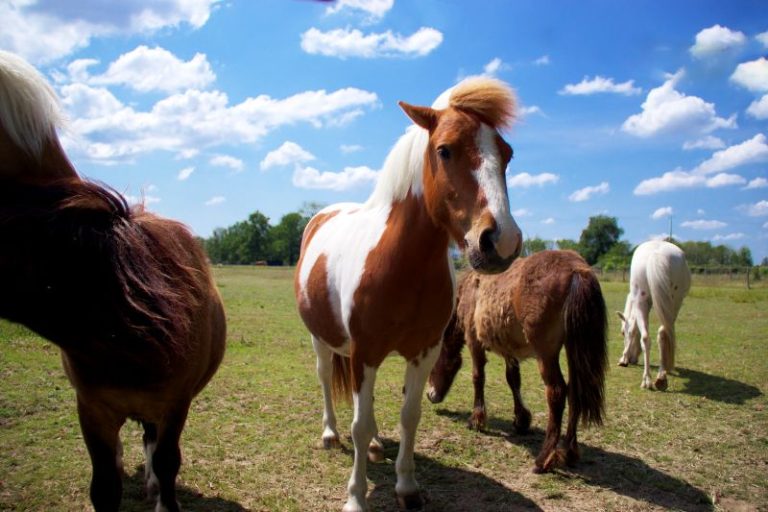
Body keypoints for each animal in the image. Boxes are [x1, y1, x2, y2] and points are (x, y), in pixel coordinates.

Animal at [294, 77, 520, 512]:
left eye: (507, 154)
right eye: (445, 150)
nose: (500, 241)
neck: (401, 266)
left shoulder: (423, 352)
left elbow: (409, 416)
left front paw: (407, 486)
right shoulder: (364, 351)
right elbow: (358, 423)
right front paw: (355, 497)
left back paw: (376, 447)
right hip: (321, 339)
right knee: (325, 377)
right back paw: (331, 434)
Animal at [426, 250, 608, 474]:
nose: (431, 395)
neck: (470, 290)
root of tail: (576, 269)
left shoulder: (474, 340)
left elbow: (478, 377)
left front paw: (476, 419)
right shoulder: (508, 349)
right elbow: (513, 379)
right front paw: (521, 420)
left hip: (546, 353)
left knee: (557, 392)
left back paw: (543, 459)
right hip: (573, 349)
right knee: (575, 391)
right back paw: (569, 452)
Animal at [616, 238, 692, 390]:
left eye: (622, 333)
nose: (632, 360)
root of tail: (656, 254)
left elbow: (632, 331)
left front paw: (623, 358)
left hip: (646, 301)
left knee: (648, 337)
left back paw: (651, 378)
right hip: (674, 303)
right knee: (661, 333)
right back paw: (660, 376)